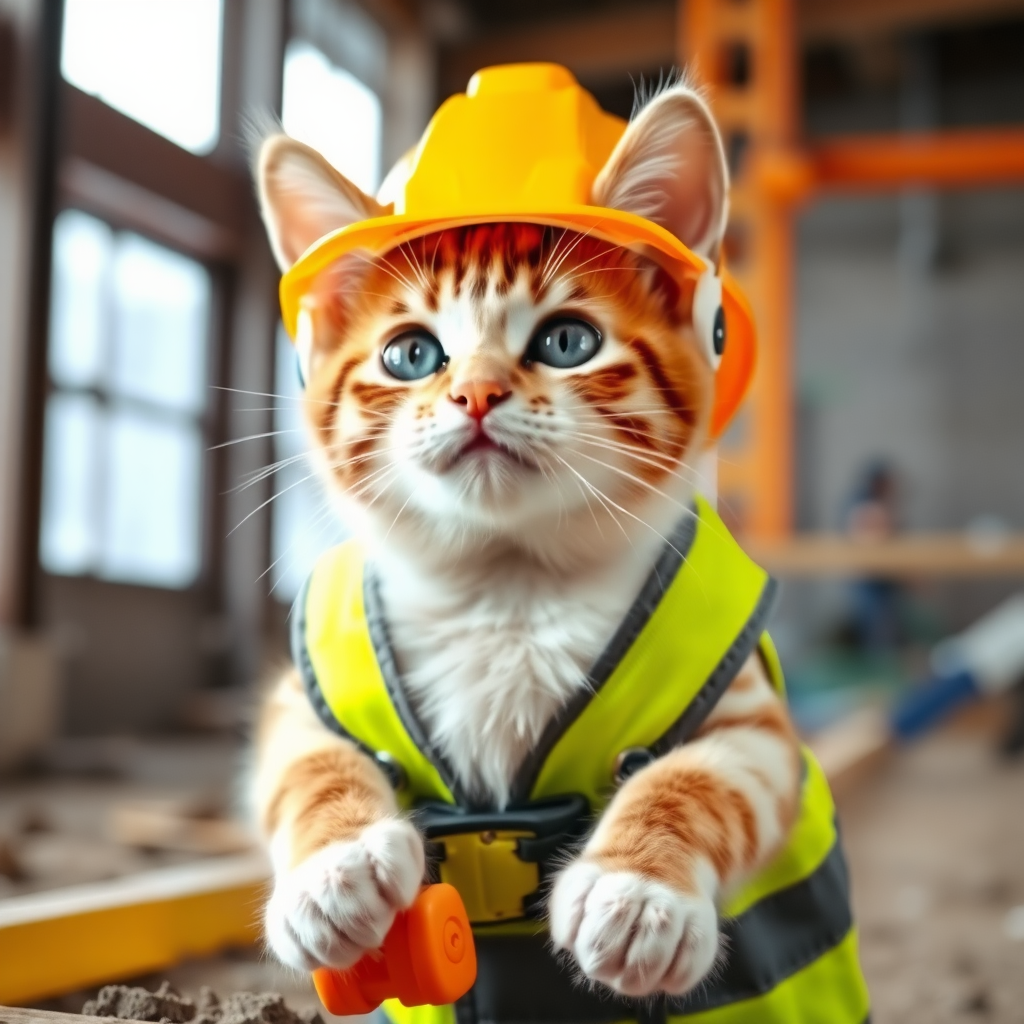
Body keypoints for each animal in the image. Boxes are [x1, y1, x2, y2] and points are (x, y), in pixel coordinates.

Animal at [245, 81, 798, 999]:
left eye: (567, 341)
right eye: (411, 355)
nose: (474, 394)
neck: (506, 587)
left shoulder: (750, 713)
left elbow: (700, 777)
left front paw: (638, 890)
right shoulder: (307, 696)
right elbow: (304, 766)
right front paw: (337, 865)